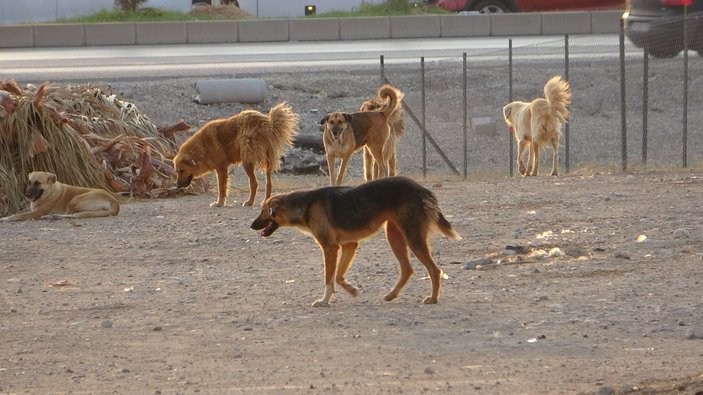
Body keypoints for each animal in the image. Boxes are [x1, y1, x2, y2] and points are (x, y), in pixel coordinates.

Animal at [252, 177, 462, 310]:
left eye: (263, 211)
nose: (251, 225)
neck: (305, 205)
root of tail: (421, 189)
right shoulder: (348, 245)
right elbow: (338, 276)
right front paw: (352, 290)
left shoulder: (330, 248)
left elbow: (329, 278)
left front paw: (324, 301)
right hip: (393, 235)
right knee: (407, 269)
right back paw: (391, 295)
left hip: (412, 237)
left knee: (434, 270)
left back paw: (433, 298)